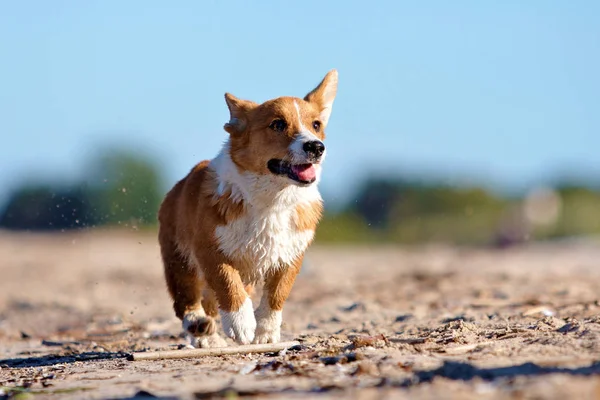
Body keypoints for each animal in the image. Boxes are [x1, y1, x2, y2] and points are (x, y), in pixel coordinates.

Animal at [158, 69, 338, 346]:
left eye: (316, 125)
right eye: (278, 124)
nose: (316, 147)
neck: (272, 199)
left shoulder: (291, 254)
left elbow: (277, 293)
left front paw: (265, 331)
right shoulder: (210, 248)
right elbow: (227, 282)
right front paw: (241, 324)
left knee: (212, 303)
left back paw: (210, 336)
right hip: (179, 260)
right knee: (186, 301)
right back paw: (199, 327)